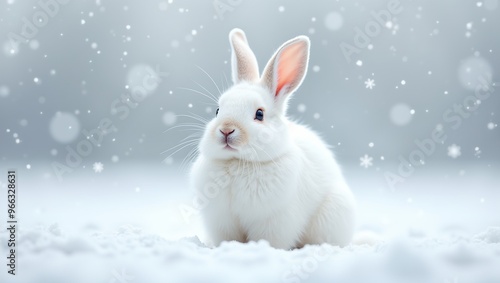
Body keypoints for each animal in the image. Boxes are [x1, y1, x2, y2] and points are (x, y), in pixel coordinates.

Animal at [190, 28, 356, 251]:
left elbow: (270, 239)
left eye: (259, 114)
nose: (226, 130)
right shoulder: (222, 221)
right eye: (217, 110)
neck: (238, 163)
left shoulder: (275, 220)